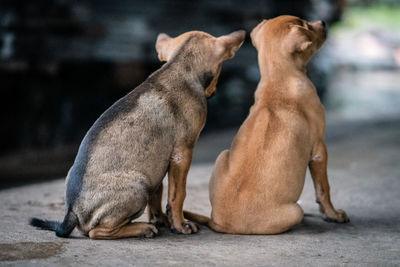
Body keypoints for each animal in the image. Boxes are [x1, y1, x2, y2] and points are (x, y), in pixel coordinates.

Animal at [29, 29, 245, 241]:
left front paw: (161, 220)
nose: (214, 92)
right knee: (96, 232)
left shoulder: (158, 164)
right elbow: (177, 195)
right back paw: (142, 228)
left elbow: (158, 194)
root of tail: (72, 212)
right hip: (139, 186)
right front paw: (180, 225)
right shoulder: (182, 154)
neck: (179, 66)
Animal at [186, 15, 348, 236]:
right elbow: (324, 189)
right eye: (305, 24)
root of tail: (219, 222)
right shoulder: (319, 150)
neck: (278, 80)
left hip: (222, 155)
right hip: (293, 211)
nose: (323, 22)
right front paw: (333, 215)